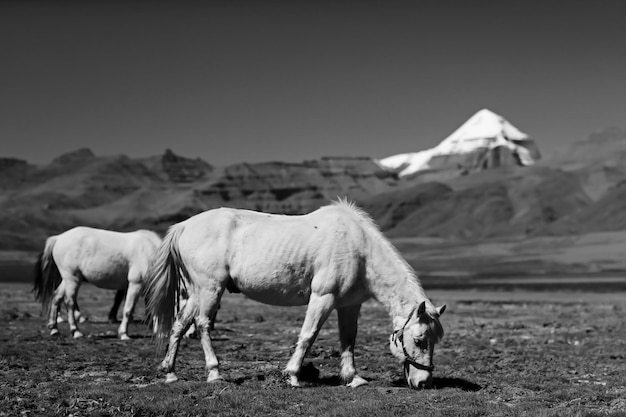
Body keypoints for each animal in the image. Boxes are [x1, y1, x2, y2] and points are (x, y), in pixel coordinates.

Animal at [33, 226, 162, 340]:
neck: (150, 251)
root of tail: (58, 238)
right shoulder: (135, 284)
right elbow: (128, 309)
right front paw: (124, 334)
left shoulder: (151, 288)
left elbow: (155, 309)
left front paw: (159, 333)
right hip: (72, 278)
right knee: (69, 302)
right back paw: (76, 332)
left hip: (67, 279)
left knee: (57, 297)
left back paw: (54, 329)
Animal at [146, 200, 444, 388]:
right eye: (419, 340)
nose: (423, 383)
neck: (359, 249)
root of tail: (183, 226)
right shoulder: (323, 298)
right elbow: (308, 335)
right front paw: (292, 376)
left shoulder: (349, 305)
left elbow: (348, 340)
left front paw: (353, 378)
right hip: (210, 289)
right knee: (203, 325)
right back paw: (215, 374)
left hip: (196, 292)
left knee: (179, 324)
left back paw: (170, 373)